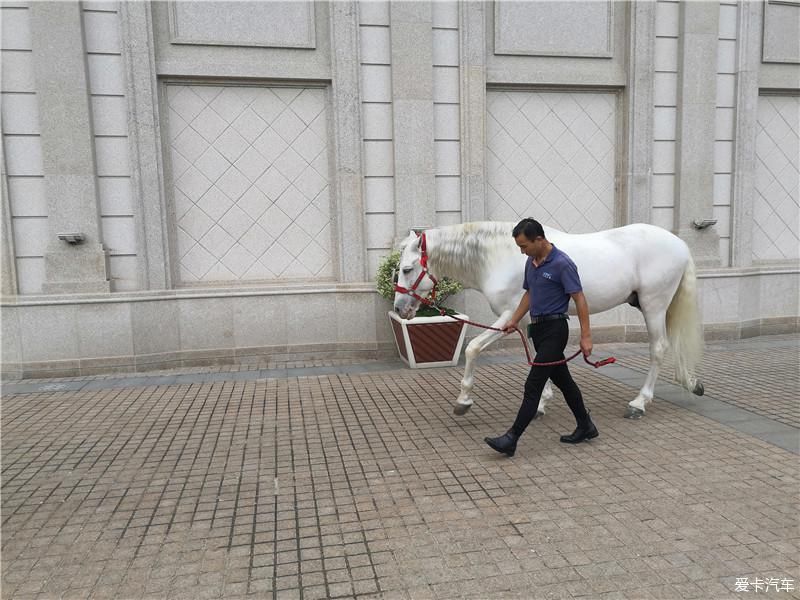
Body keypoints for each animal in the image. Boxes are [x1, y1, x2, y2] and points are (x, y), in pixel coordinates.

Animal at [390, 219, 704, 418]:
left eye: (406, 269)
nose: (401, 309)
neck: (499, 256)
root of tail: (680, 244)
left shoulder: (508, 316)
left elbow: (473, 348)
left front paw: (463, 400)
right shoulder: (527, 318)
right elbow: (542, 357)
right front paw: (543, 401)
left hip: (653, 305)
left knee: (659, 349)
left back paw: (639, 402)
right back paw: (691, 383)